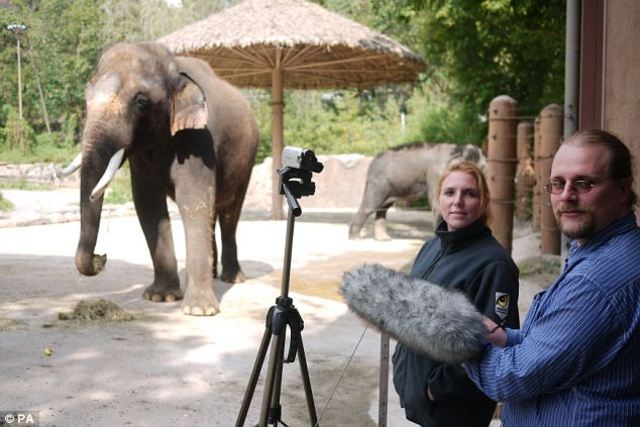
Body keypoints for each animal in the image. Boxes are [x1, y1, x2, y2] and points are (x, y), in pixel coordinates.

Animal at [61, 42, 259, 316]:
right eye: (86, 95)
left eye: (141, 102)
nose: (101, 258)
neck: (172, 66)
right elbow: (148, 204)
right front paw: (161, 297)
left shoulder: (199, 139)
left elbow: (193, 201)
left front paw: (198, 311)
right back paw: (213, 275)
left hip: (248, 157)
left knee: (231, 211)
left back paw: (233, 278)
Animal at [348, 142, 485, 240]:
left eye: (484, 167)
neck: (459, 148)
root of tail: (372, 163)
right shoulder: (435, 173)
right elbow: (436, 203)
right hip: (378, 183)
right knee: (370, 206)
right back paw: (355, 238)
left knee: (383, 209)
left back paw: (384, 239)